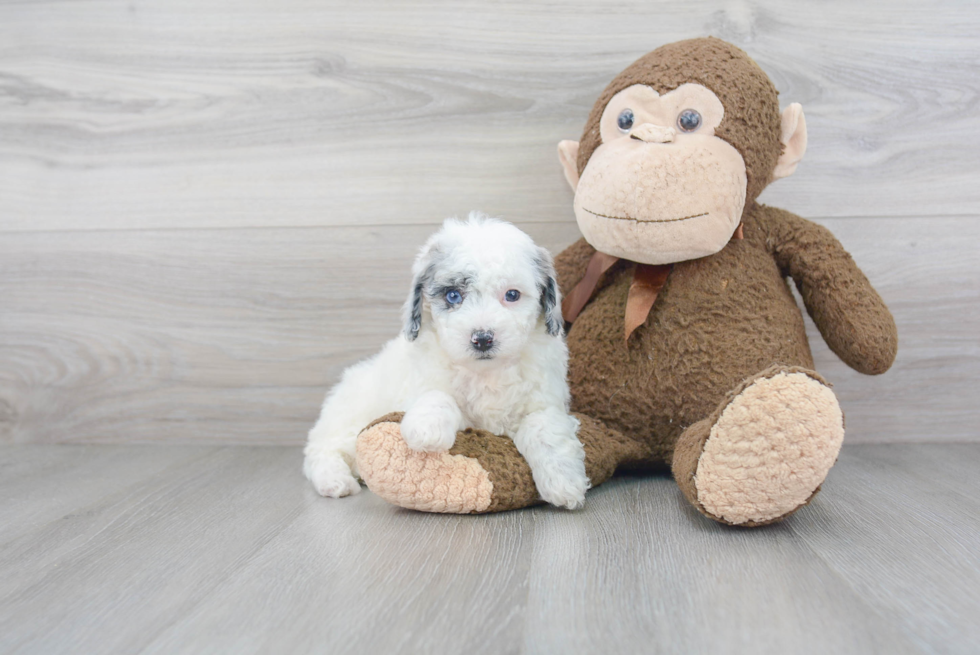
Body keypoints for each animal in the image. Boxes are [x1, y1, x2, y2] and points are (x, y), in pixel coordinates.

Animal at [300, 213, 588, 510]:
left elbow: (544, 429)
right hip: (348, 419)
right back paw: (335, 481)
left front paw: (564, 484)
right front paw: (426, 428)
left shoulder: (545, 400)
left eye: (512, 295)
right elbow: (439, 397)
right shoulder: (427, 387)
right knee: (320, 451)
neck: (486, 372)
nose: (482, 339)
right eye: (453, 295)